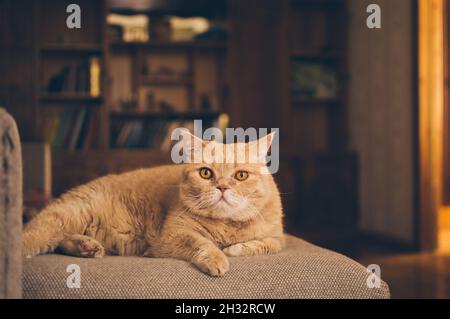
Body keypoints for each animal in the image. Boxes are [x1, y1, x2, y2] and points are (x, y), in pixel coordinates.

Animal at [22, 132, 284, 278]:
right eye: (206, 173)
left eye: (241, 176)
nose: (221, 187)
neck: (226, 225)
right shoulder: (172, 236)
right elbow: (202, 242)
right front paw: (218, 258)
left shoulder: (278, 237)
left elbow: (264, 245)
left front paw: (233, 249)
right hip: (67, 217)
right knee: (34, 235)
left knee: (61, 241)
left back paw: (87, 247)